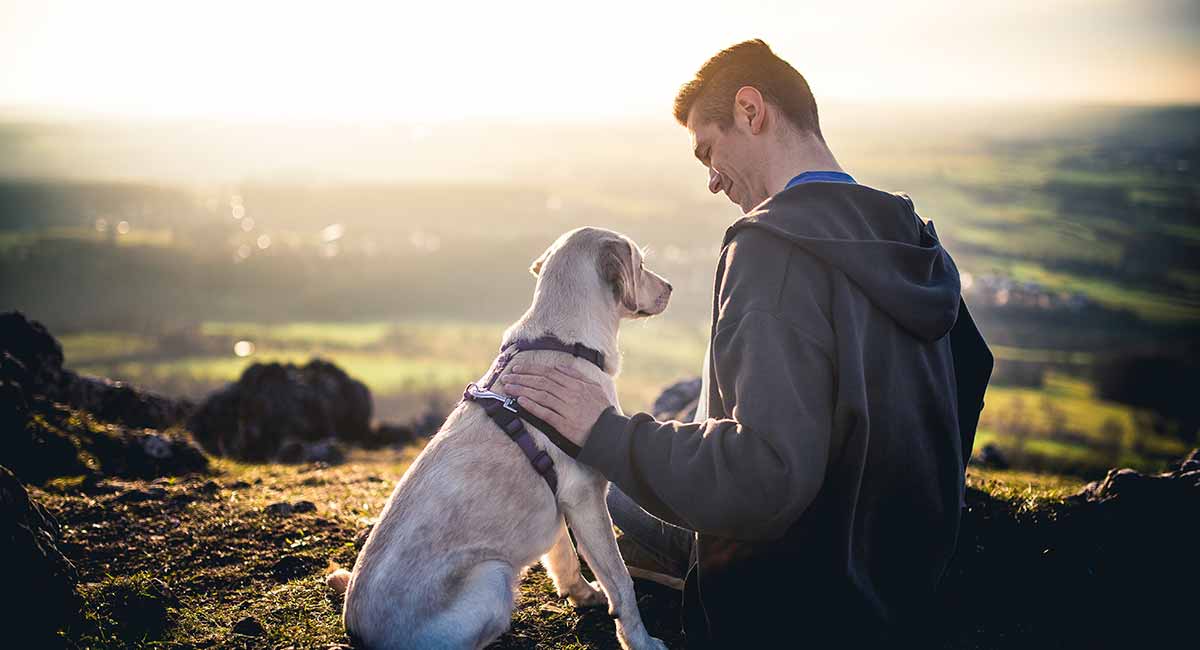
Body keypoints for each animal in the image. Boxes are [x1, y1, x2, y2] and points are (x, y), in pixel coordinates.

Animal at [324, 226, 672, 647]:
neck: (562, 341)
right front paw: (640, 639)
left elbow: (564, 558)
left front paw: (583, 595)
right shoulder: (587, 497)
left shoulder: (561, 500)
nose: (670, 287)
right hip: (493, 575)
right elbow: (621, 583)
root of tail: (357, 631)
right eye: (641, 264)